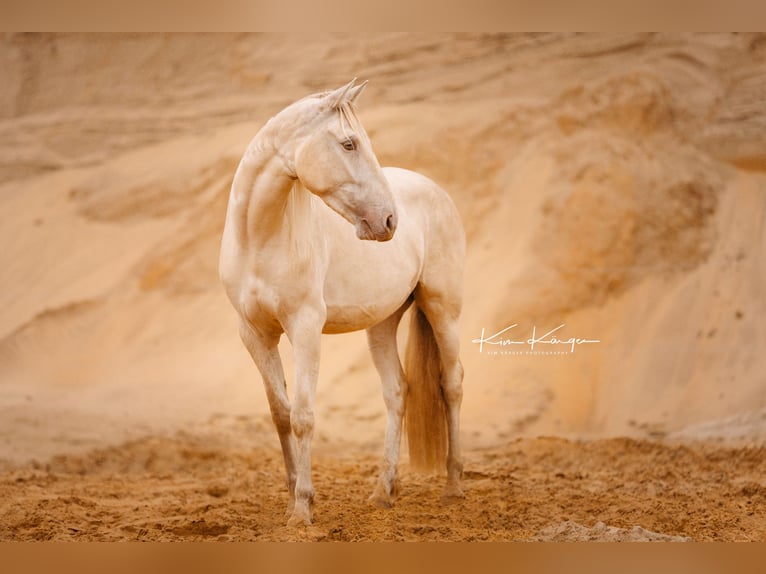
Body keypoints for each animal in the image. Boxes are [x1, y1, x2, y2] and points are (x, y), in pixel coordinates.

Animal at [219, 79, 464, 528]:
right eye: (349, 143)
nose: (389, 220)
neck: (260, 239)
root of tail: (433, 188)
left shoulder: (304, 328)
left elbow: (303, 416)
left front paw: (303, 508)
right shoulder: (255, 335)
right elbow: (281, 415)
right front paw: (292, 499)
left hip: (443, 310)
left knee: (451, 385)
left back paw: (453, 486)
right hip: (382, 324)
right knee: (397, 392)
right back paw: (383, 492)